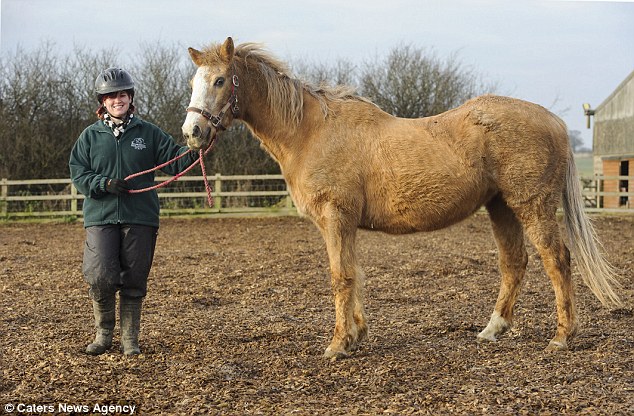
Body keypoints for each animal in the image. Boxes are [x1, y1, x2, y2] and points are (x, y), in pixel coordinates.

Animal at [180, 37, 620, 360]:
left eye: (220, 80)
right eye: (193, 83)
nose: (192, 132)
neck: (310, 131)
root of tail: (554, 121)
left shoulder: (336, 216)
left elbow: (340, 276)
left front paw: (337, 345)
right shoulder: (341, 223)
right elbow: (353, 273)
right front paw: (356, 334)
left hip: (531, 205)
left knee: (557, 260)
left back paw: (562, 336)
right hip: (500, 207)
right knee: (514, 263)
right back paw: (492, 330)